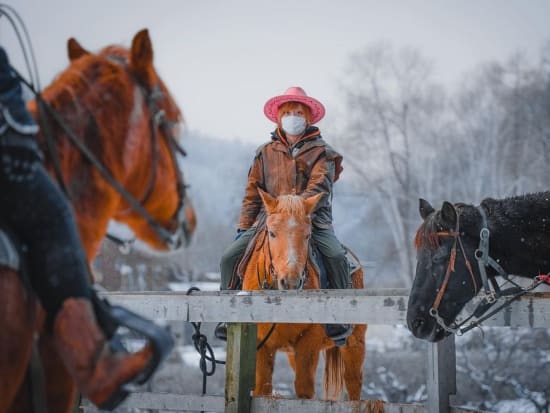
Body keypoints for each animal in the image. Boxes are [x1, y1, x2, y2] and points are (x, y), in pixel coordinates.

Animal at [245, 190, 366, 400]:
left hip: (354, 344)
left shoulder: (308, 343)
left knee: (353, 382)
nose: (291, 282)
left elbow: (304, 389)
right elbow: (262, 388)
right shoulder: (262, 345)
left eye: (308, 235)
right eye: (272, 233)